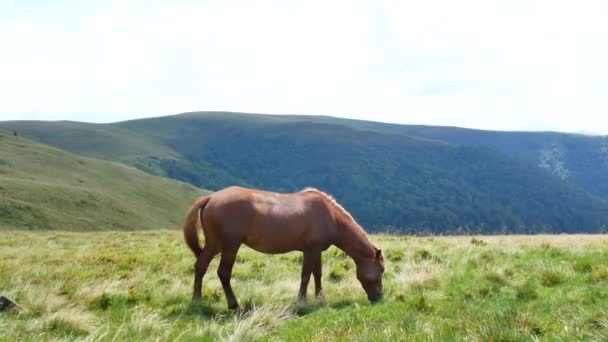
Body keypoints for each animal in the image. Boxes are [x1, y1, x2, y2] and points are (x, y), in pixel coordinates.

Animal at [183, 187, 388, 310]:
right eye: (381, 270)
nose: (378, 297)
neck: (330, 216)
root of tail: (211, 197)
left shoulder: (316, 251)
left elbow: (317, 274)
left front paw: (320, 298)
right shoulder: (310, 250)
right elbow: (306, 275)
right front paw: (302, 301)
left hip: (214, 244)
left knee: (200, 266)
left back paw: (196, 300)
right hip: (230, 245)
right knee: (224, 273)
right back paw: (235, 306)